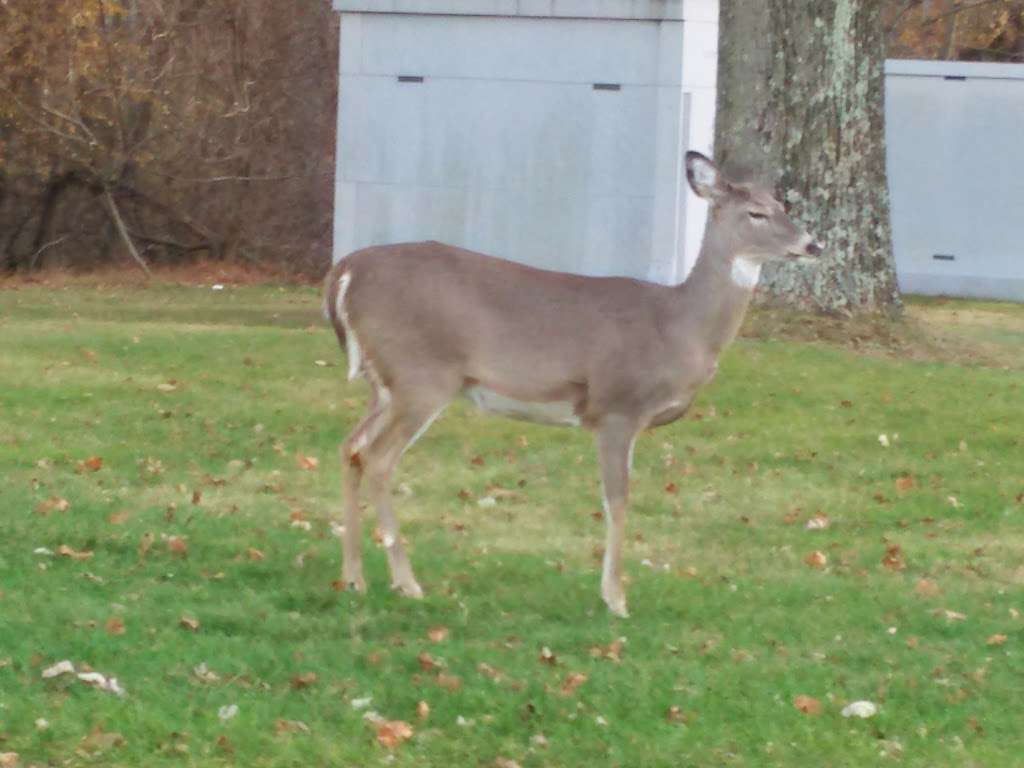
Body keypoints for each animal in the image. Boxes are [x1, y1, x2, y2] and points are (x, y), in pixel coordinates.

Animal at [323, 153, 819, 618]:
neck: (679, 327)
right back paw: (406, 582)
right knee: (378, 458)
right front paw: (616, 599)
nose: (813, 243)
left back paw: (353, 577)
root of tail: (345, 271)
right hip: (421, 376)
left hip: (384, 383)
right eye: (756, 213)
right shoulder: (618, 406)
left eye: (783, 205)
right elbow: (617, 499)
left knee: (350, 447)